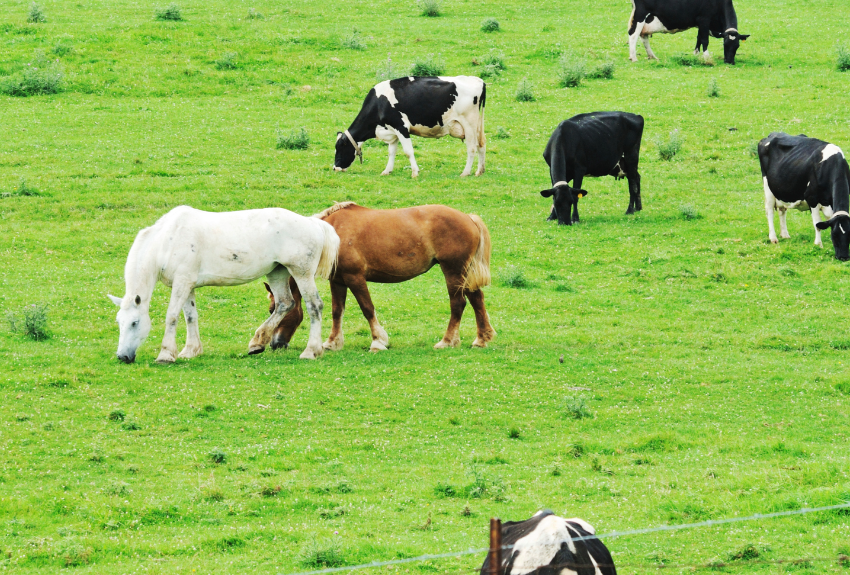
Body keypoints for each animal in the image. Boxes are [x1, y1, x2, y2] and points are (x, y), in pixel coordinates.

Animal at [107, 205, 340, 362]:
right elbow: (190, 316)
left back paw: (311, 350)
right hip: (277, 273)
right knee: (285, 303)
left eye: (135, 323)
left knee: (314, 307)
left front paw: (166, 353)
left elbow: (172, 316)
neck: (167, 240)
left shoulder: (181, 284)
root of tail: (313, 223)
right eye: (119, 322)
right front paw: (190, 350)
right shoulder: (186, 285)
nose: (122, 356)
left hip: (302, 273)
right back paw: (257, 342)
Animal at [252, 205, 494, 354]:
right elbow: (337, 311)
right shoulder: (338, 281)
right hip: (464, 274)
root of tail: (468, 218)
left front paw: (378, 341)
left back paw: (448, 340)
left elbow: (367, 308)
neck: (331, 234)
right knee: (477, 300)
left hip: (453, 271)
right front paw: (332, 342)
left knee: (458, 303)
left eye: (274, 309)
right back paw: (481, 338)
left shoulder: (355, 278)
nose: (275, 343)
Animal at [334, 75, 486, 178]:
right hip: (478, 125)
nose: (335, 168)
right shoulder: (392, 130)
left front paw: (415, 172)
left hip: (469, 123)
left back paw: (465, 172)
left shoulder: (401, 127)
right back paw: (479, 171)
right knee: (481, 145)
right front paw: (387, 171)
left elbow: (408, 151)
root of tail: (479, 80)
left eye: (340, 148)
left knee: (472, 148)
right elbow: (391, 152)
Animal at [760, 132, 844, 260]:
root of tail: (773, 134)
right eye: (835, 236)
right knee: (769, 211)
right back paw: (773, 238)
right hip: (768, 187)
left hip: (782, 191)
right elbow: (817, 224)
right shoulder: (812, 199)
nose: (843, 257)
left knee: (781, 210)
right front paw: (818, 244)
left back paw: (785, 234)